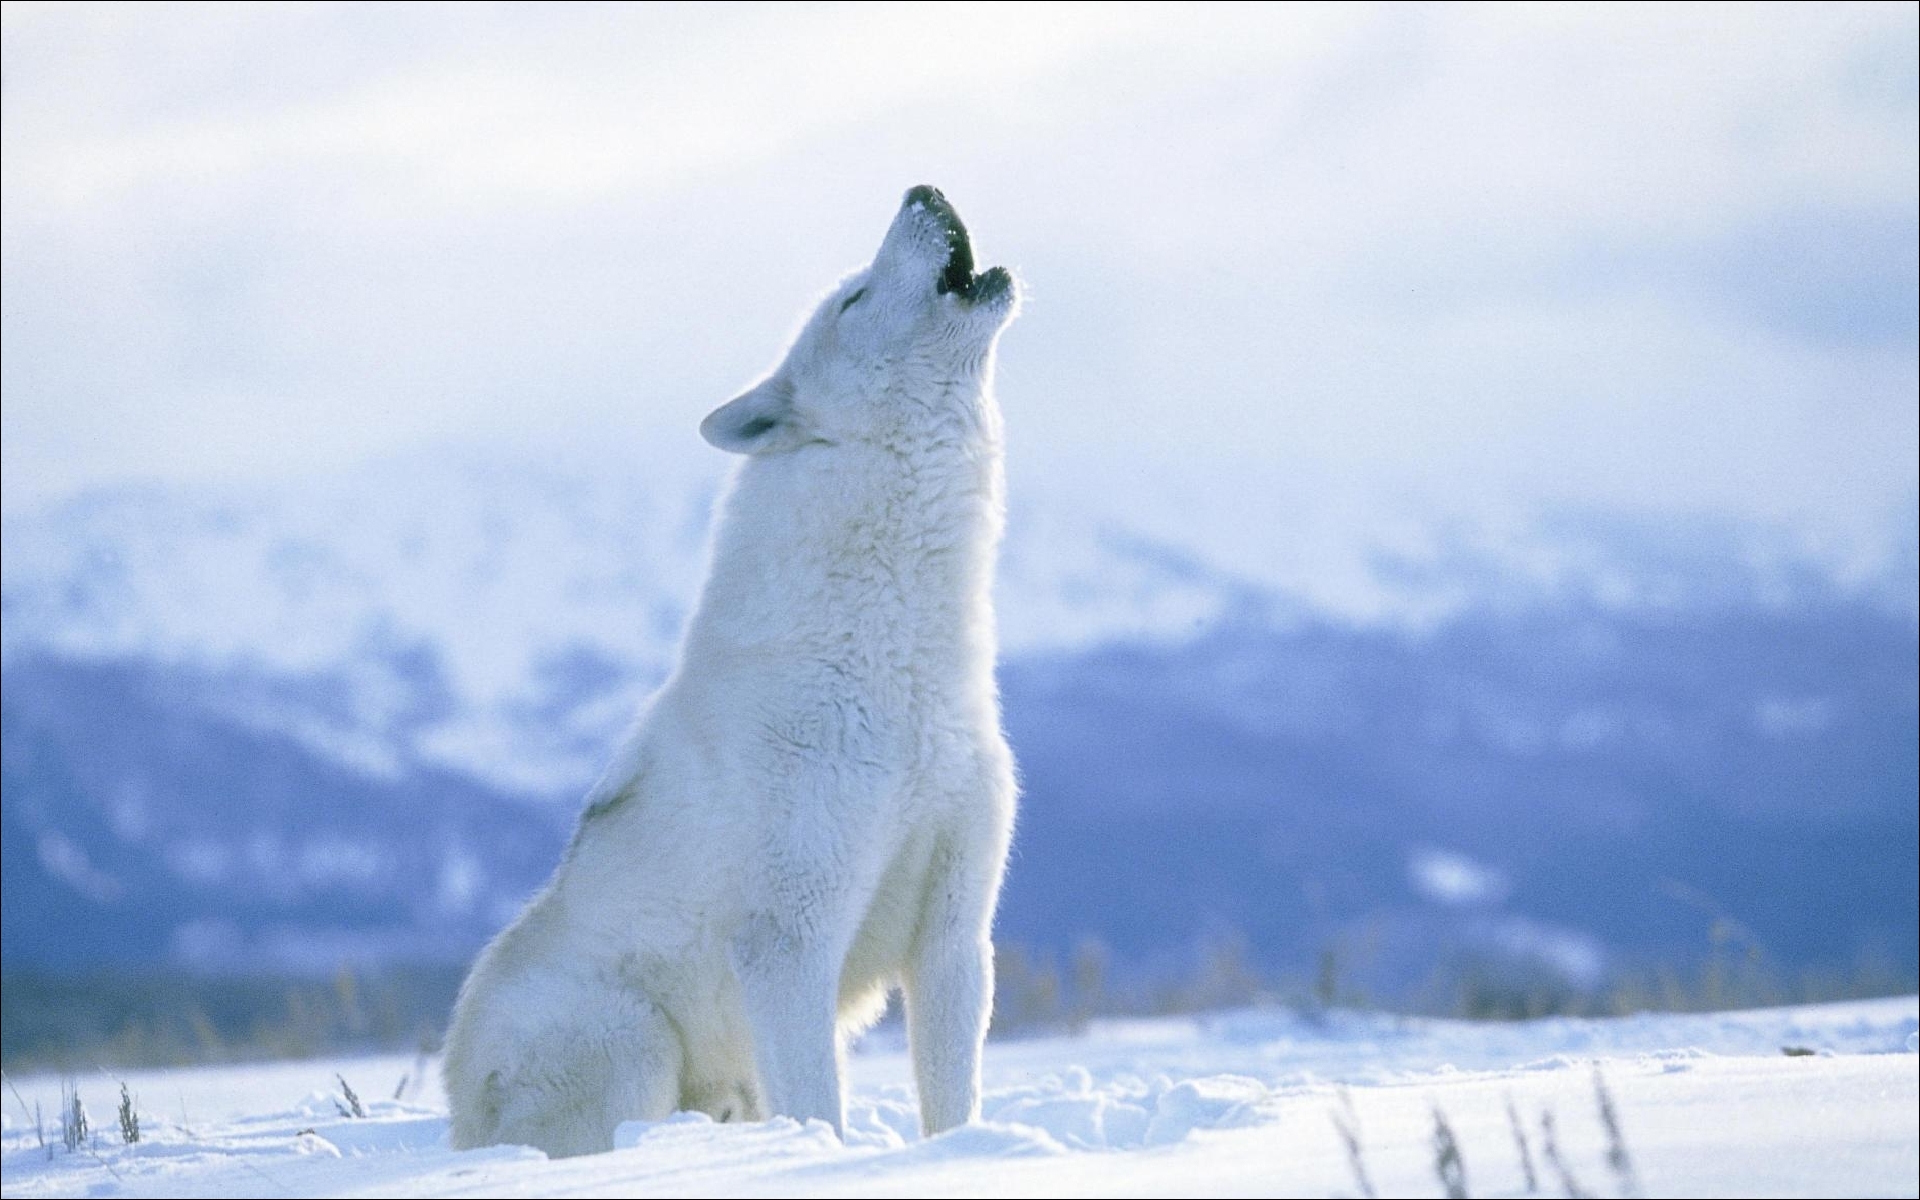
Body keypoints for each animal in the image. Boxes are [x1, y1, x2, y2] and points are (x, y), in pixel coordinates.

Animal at [443, 185, 1029, 1152]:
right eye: (853, 301)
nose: (925, 189)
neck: (898, 672)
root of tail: (457, 1108)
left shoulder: (955, 935)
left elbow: (953, 1103)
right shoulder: (789, 944)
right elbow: (821, 1104)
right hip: (634, 1042)